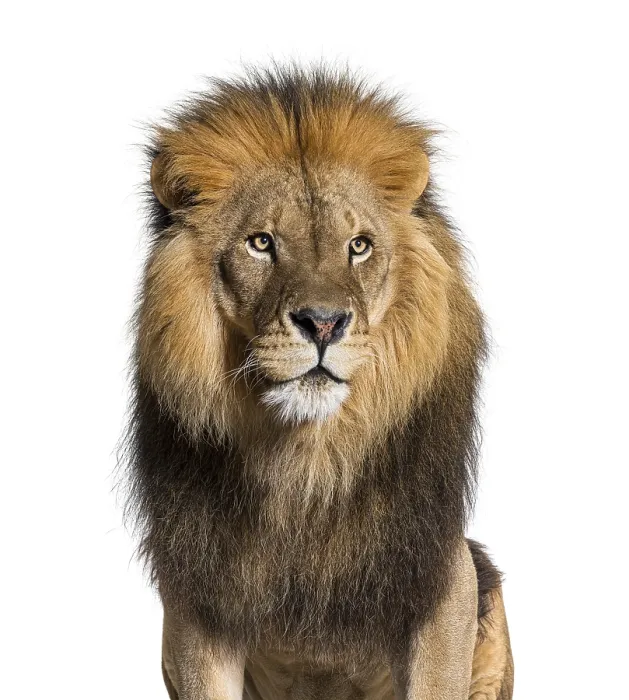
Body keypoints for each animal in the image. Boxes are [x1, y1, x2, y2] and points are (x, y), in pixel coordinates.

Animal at [123, 66, 514, 700]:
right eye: (262, 243)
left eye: (359, 246)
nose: (324, 323)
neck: (308, 459)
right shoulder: (197, 609)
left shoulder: (441, 581)